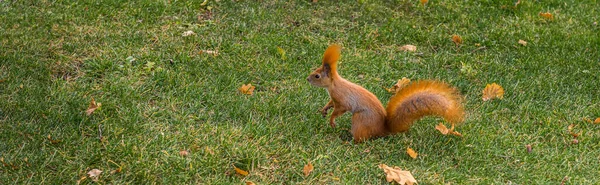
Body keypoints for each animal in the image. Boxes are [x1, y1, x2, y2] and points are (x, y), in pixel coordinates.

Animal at [308, 44, 466, 142]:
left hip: (360, 119)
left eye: (317, 76)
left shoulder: (342, 100)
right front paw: (324, 110)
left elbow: (339, 110)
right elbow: (330, 103)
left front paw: (332, 120)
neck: (334, 85)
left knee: (361, 139)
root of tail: (382, 130)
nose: (307, 79)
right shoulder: (334, 98)